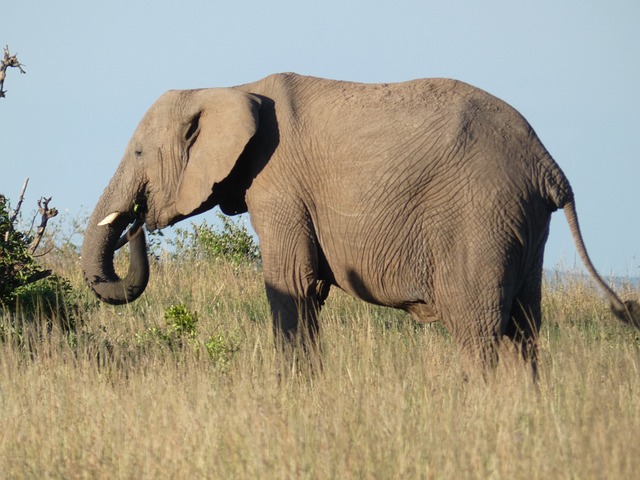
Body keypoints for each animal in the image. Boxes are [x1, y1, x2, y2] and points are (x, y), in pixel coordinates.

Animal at [81, 72, 640, 372]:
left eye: (137, 152)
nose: (135, 223)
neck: (230, 87)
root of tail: (548, 166)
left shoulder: (280, 187)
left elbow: (292, 286)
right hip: (521, 220)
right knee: (524, 330)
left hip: (481, 216)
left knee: (479, 330)